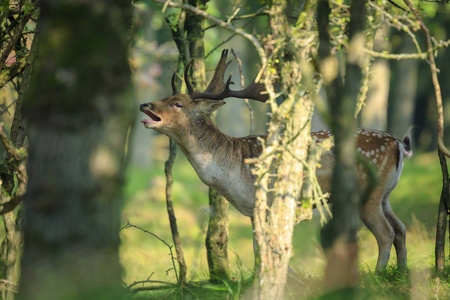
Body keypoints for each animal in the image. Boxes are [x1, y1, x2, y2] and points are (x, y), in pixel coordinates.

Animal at [140, 49, 412, 272]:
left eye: (177, 103)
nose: (144, 103)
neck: (232, 170)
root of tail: (398, 143)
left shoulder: (265, 201)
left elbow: (263, 248)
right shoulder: (253, 210)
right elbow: (258, 248)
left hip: (368, 192)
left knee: (386, 233)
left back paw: (378, 274)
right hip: (385, 194)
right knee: (400, 228)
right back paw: (401, 273)